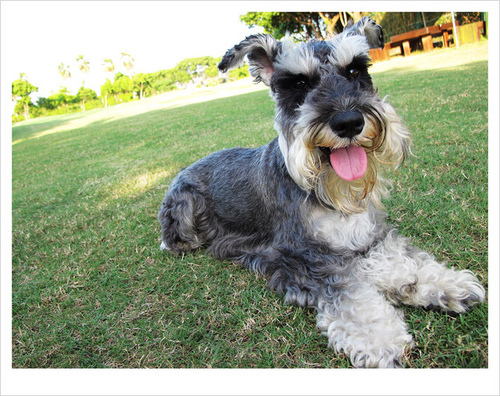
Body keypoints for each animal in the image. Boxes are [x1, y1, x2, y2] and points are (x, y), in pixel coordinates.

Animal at [158, 17, 486, 366]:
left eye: (355, 70)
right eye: (299, 83)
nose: (349, 122)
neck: (327, 191)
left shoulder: (369, 236)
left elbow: (399, 260)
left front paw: (444, 285)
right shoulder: (302, 256)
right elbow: (350, 291)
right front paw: (379, 337)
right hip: (184, 210)